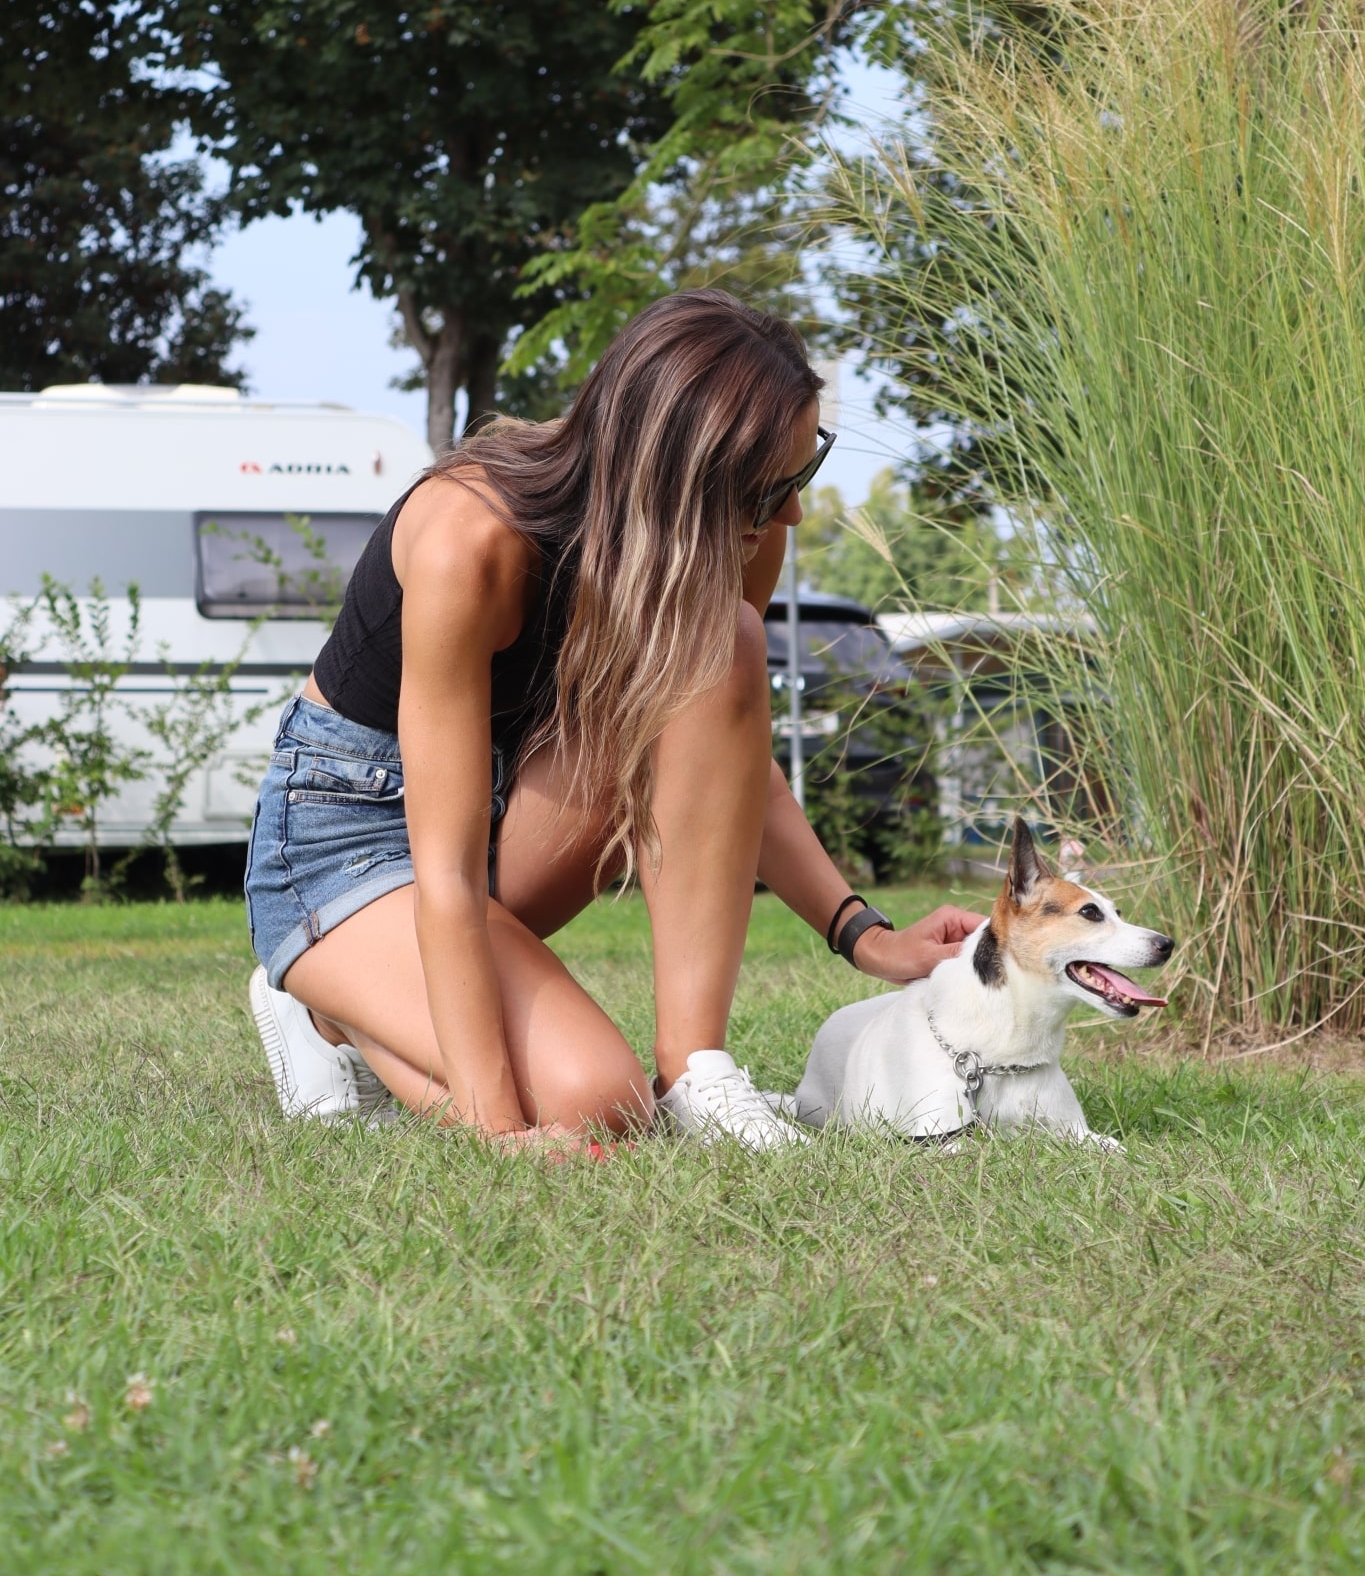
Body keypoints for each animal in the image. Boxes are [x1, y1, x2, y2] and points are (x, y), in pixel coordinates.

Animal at [788, 825, 1172, 1147]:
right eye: (1090, 912)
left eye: (1118, 912)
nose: (1167, 944)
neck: (999, 1061)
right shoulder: (938, 1138)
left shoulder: (1077, 1131)